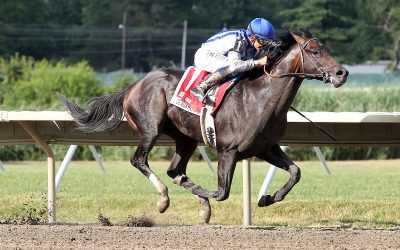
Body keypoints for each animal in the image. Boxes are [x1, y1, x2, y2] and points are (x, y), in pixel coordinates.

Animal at [57, 28, 348, 223]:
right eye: (315, 51)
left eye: (327, 48)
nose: (342, 73)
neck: (261, 98)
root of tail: (131, 86)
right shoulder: (228, 151)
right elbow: (221, 192)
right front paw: (206, 199)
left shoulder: (266, 148)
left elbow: (296, 172)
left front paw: (267, 198)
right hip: (150, 129)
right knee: (140, 160)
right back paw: (164, 198)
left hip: (185, 138)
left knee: (175, 170)